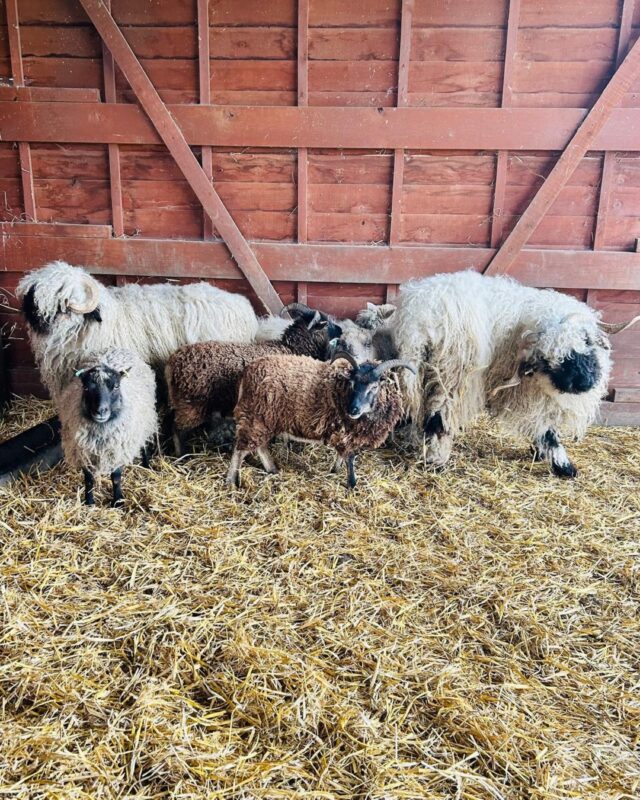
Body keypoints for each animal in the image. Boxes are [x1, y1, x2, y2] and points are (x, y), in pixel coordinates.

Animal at [57, 348, 157, 506]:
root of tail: (116, 348)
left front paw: (118, 501)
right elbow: (88, 479)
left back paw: (146, 465)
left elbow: (115, 477)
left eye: (116, 386)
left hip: (145, 421)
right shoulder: (84, 451)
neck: (101, 432)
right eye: (86, 387)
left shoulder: (117, 449)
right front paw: (89, 501)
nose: (101, 411)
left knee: (144, 443)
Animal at [165, 306, 343, 454]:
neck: (291, 348)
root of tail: (171, 363)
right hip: (191, 406)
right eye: (327, 323)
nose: (341, 330)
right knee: (177, 430)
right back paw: (182, 455)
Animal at [226, 350, 415, 489]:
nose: (353, 410)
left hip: (265, 419)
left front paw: (335, 471)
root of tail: (247, 372)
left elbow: (343, 455)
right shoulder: (347, 432)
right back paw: (231, 481)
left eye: (374, 387)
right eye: (352, 384)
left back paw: (272, 469)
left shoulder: (345, 433)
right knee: (241, 449)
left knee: (260, 446)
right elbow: (350, 457)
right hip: (254, 415)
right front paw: (352, 484)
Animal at [345, 271, 640, 478]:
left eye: (587, 341)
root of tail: (420, 322)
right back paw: (437, 460)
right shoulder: (524, 392)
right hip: (452, 375)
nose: (581, 383)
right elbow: (545, 427)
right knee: (438, 418)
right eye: (548, 358)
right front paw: (563, 465)